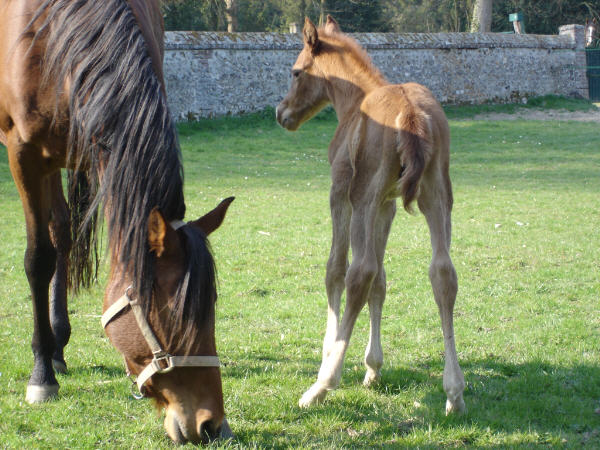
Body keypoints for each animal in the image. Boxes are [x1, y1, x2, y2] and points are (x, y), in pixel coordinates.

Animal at [0, 0, 232, 442]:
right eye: (175, 315)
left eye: (211, 304)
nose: (211, 424)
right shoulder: (24, 153)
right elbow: (38, 259)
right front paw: (41, 376)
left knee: (63, 232)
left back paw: (59, 345)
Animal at [276, 15, 464, 414]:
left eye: (296, 72)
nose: (282, 113)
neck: (354, 104)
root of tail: (411, 113)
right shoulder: (388, 204)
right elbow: (381, 278)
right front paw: (373, 367)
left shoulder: (342, 193)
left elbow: (337, 269)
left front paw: (330, 353)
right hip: (436, 196)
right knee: (442, 272)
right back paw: (454, 392)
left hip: (363, 197)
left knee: (358, 271)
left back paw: (321, 385)